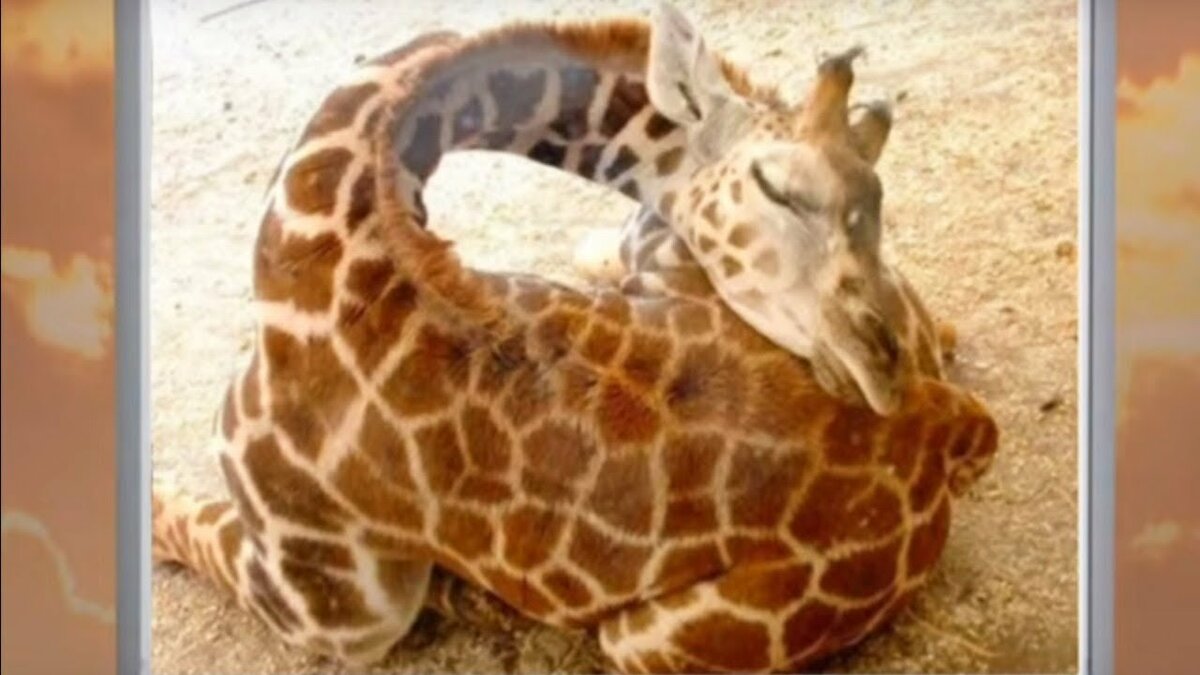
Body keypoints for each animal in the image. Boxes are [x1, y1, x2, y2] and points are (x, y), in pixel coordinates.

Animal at [151, 4, 999, 673]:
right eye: (775, 186)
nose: (882, 363)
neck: (334, 226)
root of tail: (951, 430)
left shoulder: (327, 598)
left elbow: (183, 517)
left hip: (640, 642)